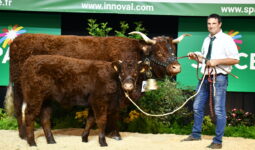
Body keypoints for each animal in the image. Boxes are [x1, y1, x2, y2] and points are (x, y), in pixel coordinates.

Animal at [7, 31, 189, 140]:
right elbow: (114, 112)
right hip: (19, 86)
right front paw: (114, 134)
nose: (176, 67)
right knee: (18, 107)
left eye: (173, 50)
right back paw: (23, 135)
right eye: (159, 52)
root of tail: (18, 39)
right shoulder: (116, 92)